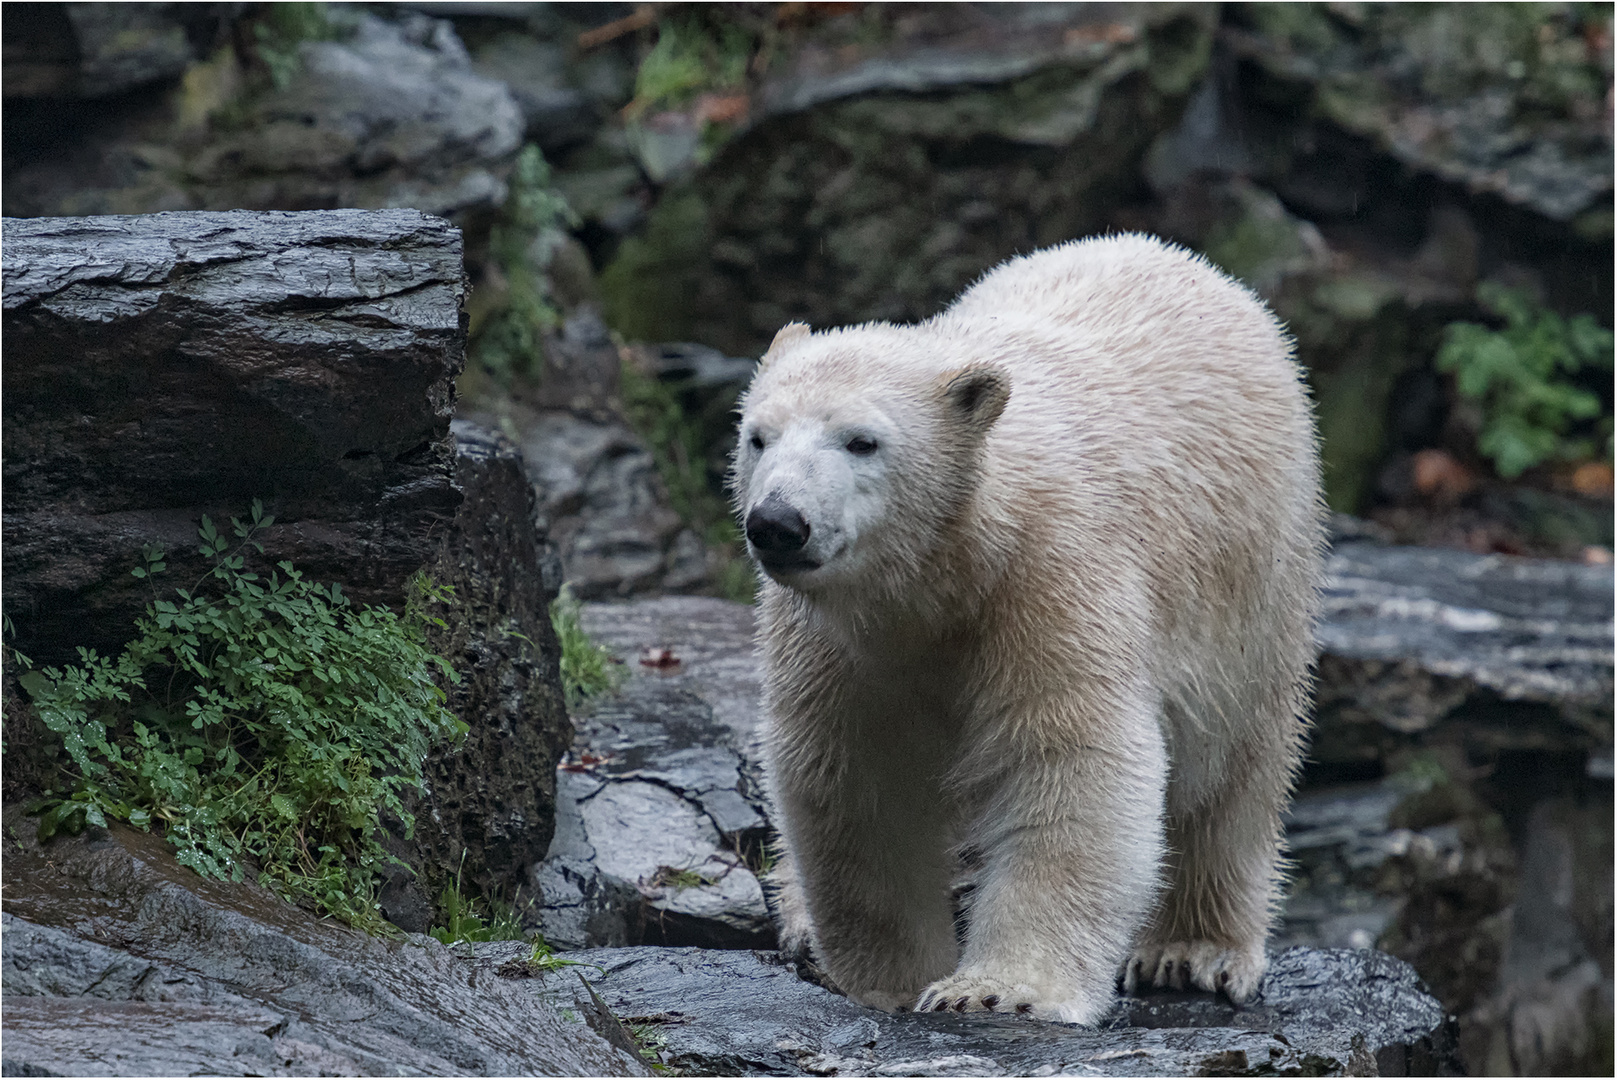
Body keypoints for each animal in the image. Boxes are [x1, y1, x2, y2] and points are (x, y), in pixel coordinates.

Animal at [734, 234, 1325, 1021]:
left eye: (861, 441)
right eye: (756, 437)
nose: (778, 522)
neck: (948, 569)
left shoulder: (1052, 577)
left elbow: (1070, 760)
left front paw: (995, 992)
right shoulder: (837, 638)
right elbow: (853, 778)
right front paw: (886, 982)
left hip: (1252, 578)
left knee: (1230, 763)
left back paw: (1192, 949)